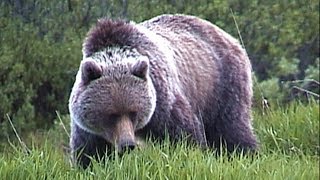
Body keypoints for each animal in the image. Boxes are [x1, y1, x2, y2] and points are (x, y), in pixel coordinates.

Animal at [69, 13, 258, 167]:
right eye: (111, 115)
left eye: (133, 112)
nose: (127, 144)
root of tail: (230, 38)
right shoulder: (88, 128)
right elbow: (89, 152)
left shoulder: (163, 103)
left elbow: (185, 135)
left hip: (221, 85)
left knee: (231, 127)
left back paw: (246, 155)